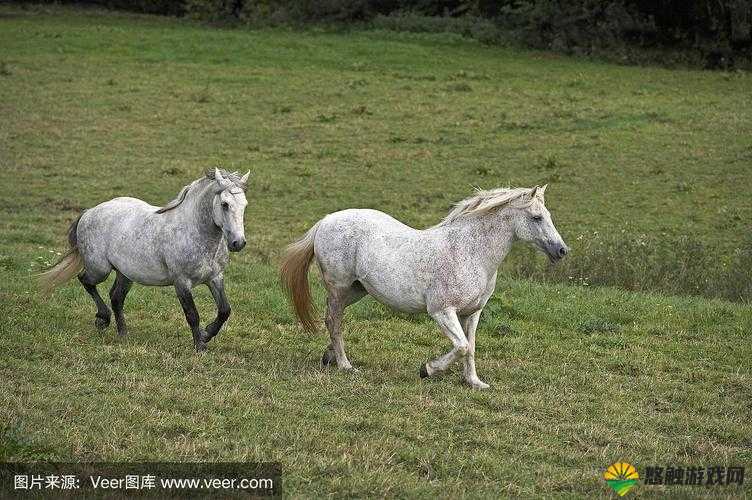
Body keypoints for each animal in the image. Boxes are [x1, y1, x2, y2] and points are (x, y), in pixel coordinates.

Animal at [39, 168, 250, 351]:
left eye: (245, 205)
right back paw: (103, 319)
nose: (238, 243)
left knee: (116, 297)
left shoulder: (215, 278)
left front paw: (207, 334)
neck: (194, 231)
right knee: (85, 280)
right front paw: (200, 346)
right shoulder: (182, 283)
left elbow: (225, 310)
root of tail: (89, 211)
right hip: (100, 269)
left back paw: (123, 333)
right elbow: (192, 315)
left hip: (125, 273)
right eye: (225, 204)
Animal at [280, 185, 568, 389]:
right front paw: (427, 370)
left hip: (356, 290)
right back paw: (345, 365)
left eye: (548, 216)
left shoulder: (472, 313)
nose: (562, 251)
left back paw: (329, 357)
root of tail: (326, 220)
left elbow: (471, 346)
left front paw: (474, 382)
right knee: (334, 320)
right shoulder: (442, 311)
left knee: (332, 318)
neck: (471, 252)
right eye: (536, 217)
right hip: (339, 287)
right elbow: (462, 346)